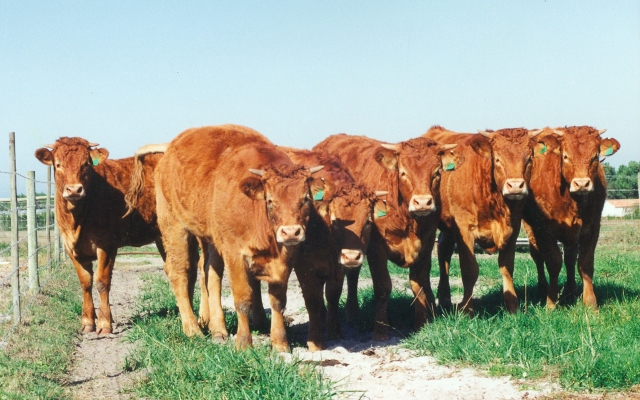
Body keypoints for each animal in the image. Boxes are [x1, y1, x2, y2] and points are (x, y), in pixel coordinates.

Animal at [34, 138, 165, 334]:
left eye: (86, 164)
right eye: (58, 164)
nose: (74, 189)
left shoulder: (106, 244)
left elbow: (102, 281)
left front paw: (104, 323)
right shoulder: (71, 248)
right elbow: (85, 281)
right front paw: (88, 321)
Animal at [154, 124, 322, 350]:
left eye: (305, 198)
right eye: (270, 200)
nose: (290, 232)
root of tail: (169, 151)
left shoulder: (286, 257)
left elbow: (278, 300)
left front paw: (280, 343)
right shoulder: (235, 253)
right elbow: (243, 299)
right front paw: (244, 342)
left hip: (212, 238)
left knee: (211, 273)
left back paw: (218, 330)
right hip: (174, 227)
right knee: (179, 273)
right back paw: (193, 329)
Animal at [312, 134, 460, 338]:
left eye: (437, 172)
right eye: (403, 172)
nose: (423, 202)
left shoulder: (427, 244)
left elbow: (419, 284)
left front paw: (421, 323)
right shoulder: (376, 249)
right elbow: (382, 287)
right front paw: (381, 329)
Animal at [424, 126, 544, 314]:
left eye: (529, 158)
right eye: (497, 159)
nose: (515, 186)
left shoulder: (513, 228)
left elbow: (507, 267)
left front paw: (513, 306)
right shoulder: (464, 229)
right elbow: (469, 270)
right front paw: (467, 309)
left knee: (444, 250)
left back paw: (444, 299)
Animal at [524, 126, 620, 308]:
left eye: (595, 156)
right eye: (566, 156)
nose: (582, 184)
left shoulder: (592, 227)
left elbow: (584, 263)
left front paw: (590, 303)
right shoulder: (543, 230)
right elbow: (553, 262)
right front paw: (551, 302)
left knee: (569, 257)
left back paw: (570, 290)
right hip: (530, 228)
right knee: (537, 256)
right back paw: (543, 288)